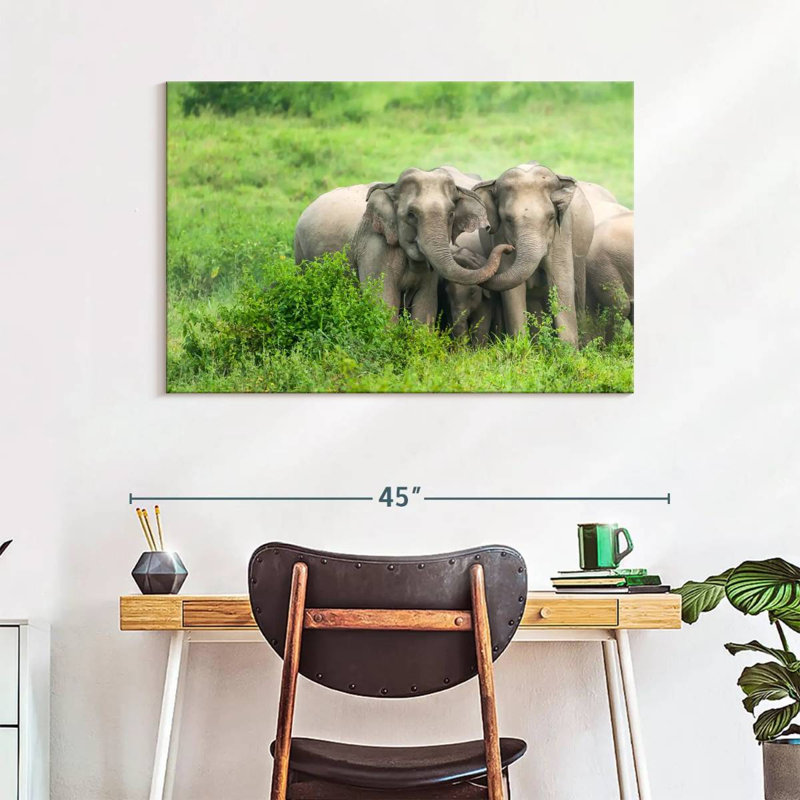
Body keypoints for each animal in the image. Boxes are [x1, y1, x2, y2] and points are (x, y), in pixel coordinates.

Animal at [349, 167, 510, 324]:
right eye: (411, 214)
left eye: (451, 214)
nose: (509, 249)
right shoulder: (374, 251)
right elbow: (383, 305)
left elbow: (425, 309)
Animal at [472, 163, 595, 346]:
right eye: (508, 219)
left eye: (551, 217)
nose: (507, 248)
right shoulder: (500, 234)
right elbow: (513, 290)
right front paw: (520, 347)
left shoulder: (563, 232)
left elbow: (561, 281)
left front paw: (567, 350)